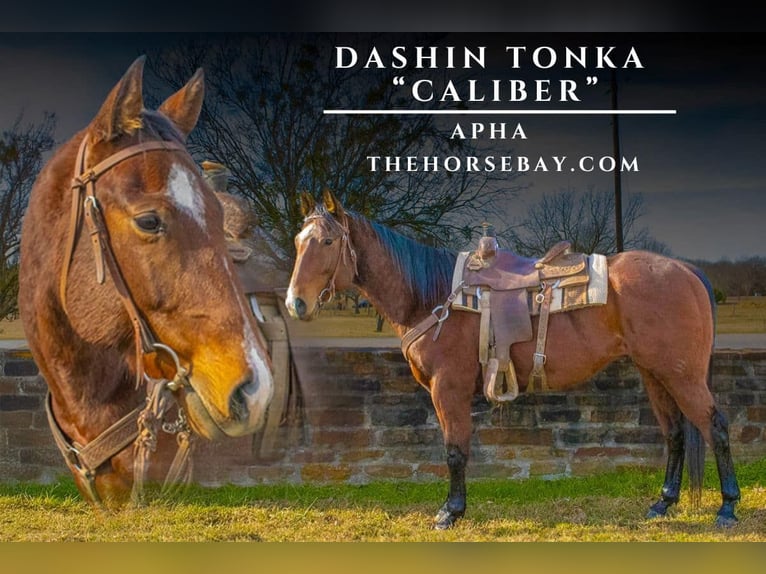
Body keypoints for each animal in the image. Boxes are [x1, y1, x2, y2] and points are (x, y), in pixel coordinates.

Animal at [285, 189, 740, 530]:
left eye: (328, 242)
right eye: (297, 242)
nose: (295, 303)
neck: (431, 296)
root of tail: (685, 271)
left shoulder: (448, 387)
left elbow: (455, 449)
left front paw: (450, 512)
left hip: (682, 375)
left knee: (714, 426)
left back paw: (727, 507)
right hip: (654, 372)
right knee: (675, 432)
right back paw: (663, 503)